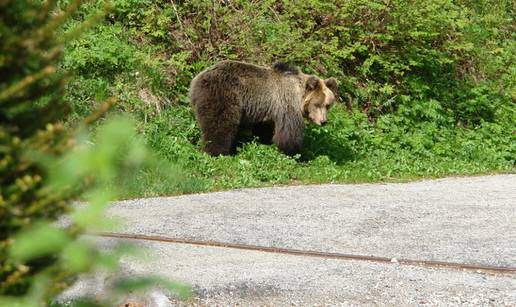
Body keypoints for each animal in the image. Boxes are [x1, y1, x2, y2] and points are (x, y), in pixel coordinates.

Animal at [189, 60, 338, 156]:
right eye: (317, 104)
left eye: (328, 105)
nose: (323, 121)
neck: (298, 95)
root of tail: (197, 79)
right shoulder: (286, 104)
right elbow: (289, 132)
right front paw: (294, 152)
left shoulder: (267, 109)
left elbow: (264, 128)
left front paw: (266, 142)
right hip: (224, 95)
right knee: (220, 124)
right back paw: (215, 151)